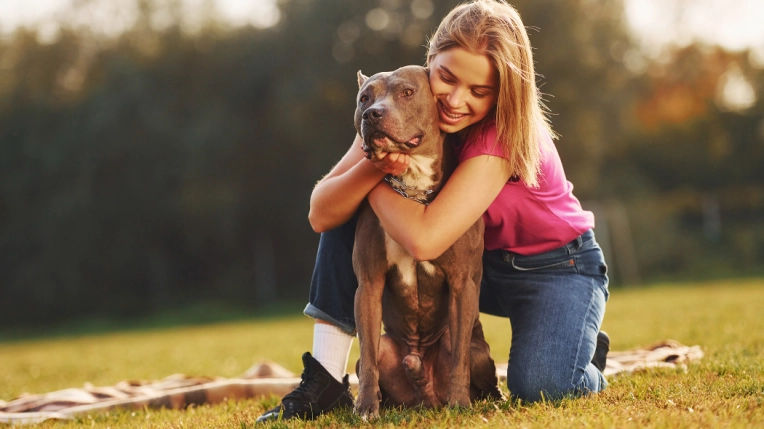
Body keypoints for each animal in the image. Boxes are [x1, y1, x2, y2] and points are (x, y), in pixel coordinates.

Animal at [350, 66, 502, 418]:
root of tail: (428, 396)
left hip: (477, 351)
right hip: (386, 351)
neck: (414, 185)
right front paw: (365, 407)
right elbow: (368, 356)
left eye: (407, 92)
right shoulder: (368, 284)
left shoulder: (462, 284)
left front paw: (460, 403)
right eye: (364, 98)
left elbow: (459, 358)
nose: (372, 113)